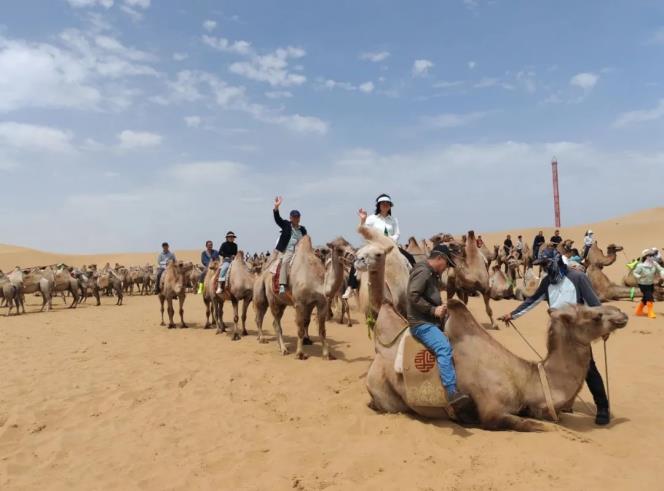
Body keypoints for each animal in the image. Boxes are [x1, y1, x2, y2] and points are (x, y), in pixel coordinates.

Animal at [365, 299, 628, 431]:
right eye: (595, 316)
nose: (621, 313)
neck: (527, 382)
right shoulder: (492, 411)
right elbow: (535, 425)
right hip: (386, 393)